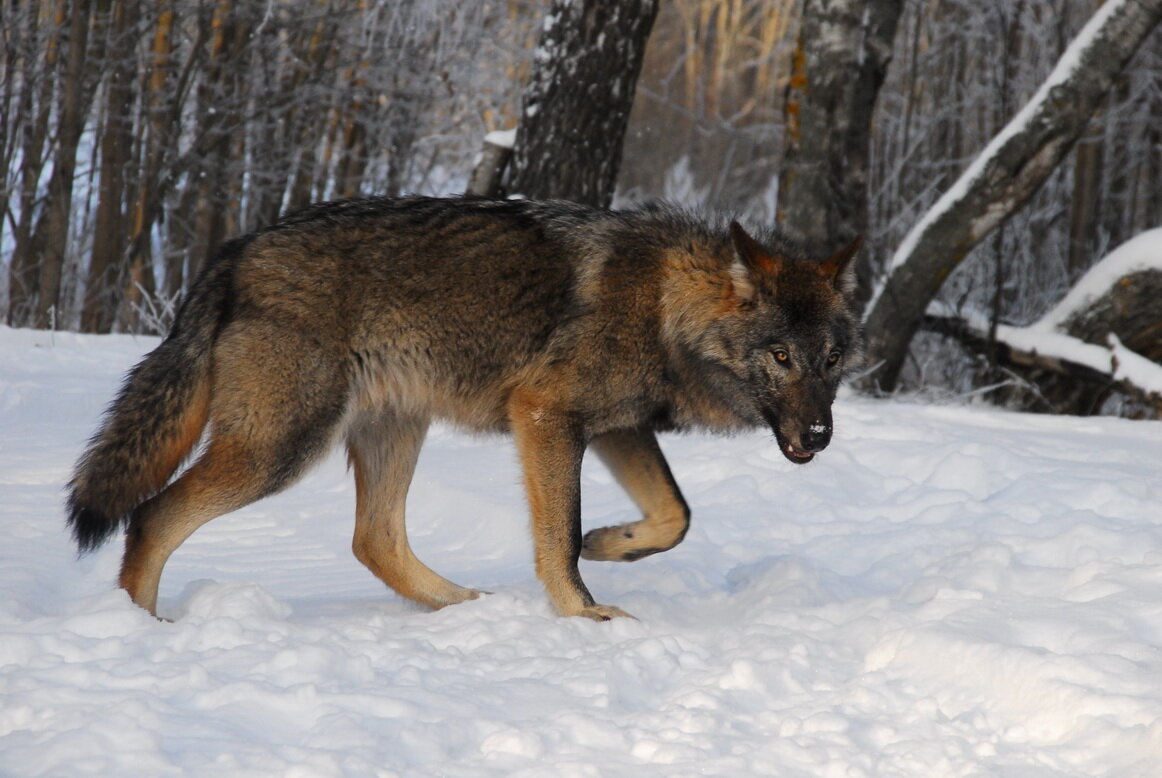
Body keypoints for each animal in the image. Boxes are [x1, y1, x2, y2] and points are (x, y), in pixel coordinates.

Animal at [65, 198, 864, 627]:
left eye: (831, 360)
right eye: (780, 358)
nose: (820, 435)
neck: (666, 306)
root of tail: (233, 252)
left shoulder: (616, 428)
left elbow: (676, 515)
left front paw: (610, 542)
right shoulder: (547, 416)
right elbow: (558, 538)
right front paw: (584, 613)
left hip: (391, 431)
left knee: (374, 540)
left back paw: (465, 604)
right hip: (280, 452)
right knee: (152, 516)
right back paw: (141, 631)